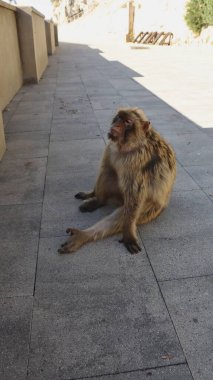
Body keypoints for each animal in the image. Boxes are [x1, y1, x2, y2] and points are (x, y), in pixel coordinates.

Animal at [58, 107, 176, 255]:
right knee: (108, 172)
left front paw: (128, 233)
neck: (128, 145)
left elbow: (135, 196)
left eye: (127, 122)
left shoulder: (139, 158)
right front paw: (93, 194)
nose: (117, 125)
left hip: (152, 209)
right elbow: (106, 167)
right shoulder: (110, 147)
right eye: (119, 118)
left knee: (125, 211)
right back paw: (98, 201)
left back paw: (84, 235)